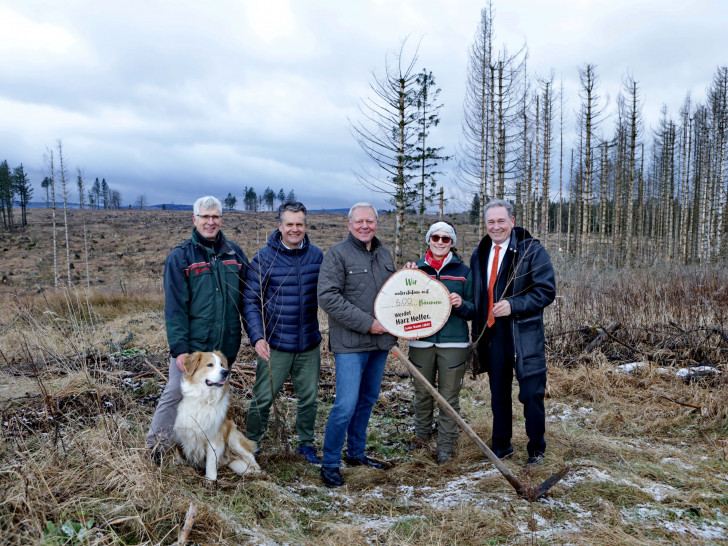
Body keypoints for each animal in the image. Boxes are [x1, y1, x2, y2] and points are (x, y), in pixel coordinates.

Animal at [172, 350, 260, 478]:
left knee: (250, 457)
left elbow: (211, 463)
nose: (225, 372)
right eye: (210, 364)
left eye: (222, 365)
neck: (204, 400)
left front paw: (210, 480)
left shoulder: (214, 437)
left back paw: (254, 470)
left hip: (234, 439)